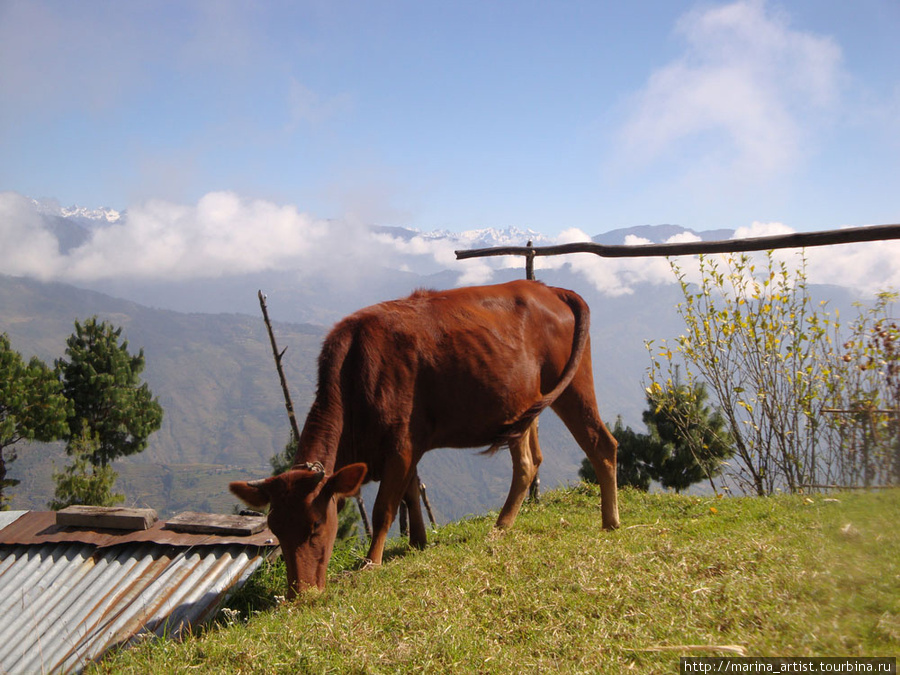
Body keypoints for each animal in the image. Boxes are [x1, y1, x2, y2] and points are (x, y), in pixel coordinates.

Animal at [230, 280, 620, 596]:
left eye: (315, 526)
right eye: (276, 529)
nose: (301, 592)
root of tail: (550, 289)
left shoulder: (401, 445)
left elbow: (385, 508)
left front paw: (371, 562)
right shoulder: (408, 447)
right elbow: (411, 495)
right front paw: (418, 542)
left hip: (574, 385)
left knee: (602, 445)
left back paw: (610, 522)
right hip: (523, 407)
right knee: (528, 462)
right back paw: (501, 526)